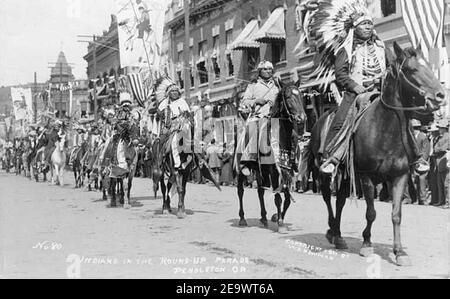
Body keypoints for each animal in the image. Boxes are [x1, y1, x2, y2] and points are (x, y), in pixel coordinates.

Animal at [236, 83, 306, 233]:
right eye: (288, 97)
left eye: (301, 96)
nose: (301, 118)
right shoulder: (274, 171)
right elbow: (278, 197)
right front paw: (280, 223)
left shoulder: (287, 170)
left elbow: (287, 198)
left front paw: (277, 218)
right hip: (240, 169)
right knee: (240, 191)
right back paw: (242, 219)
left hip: (260, 171)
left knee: (260, 191)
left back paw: (263, 218)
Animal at [310, 42, 446, 268]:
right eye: (411, 69)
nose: (441, 95)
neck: (385, 129)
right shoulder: (367, 176)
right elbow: (371, 212)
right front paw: (366, 244)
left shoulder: (400, 176)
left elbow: (396, 214)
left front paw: (399, 252)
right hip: (323, 171)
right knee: (328, 198)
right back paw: (332, 230)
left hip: (347, 175)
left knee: (340, 201)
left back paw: (338, 236)